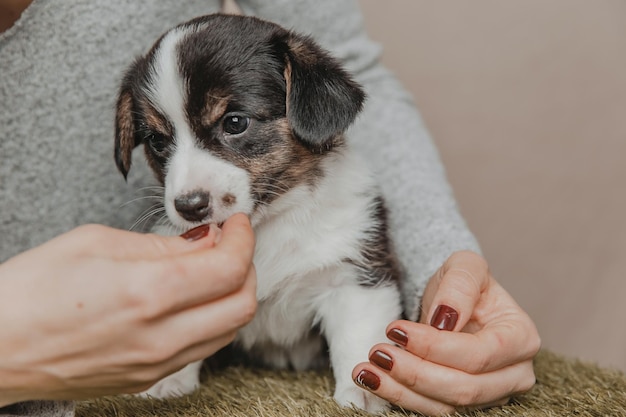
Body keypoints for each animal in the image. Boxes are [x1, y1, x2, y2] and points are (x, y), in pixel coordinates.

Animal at [114, 13, 402, 412]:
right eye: (157, 140)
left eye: (235, 123)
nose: (189, 207)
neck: (266, 224)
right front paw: (167, 380)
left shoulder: (354, 276)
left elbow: (359, 341)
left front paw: (363, 394)